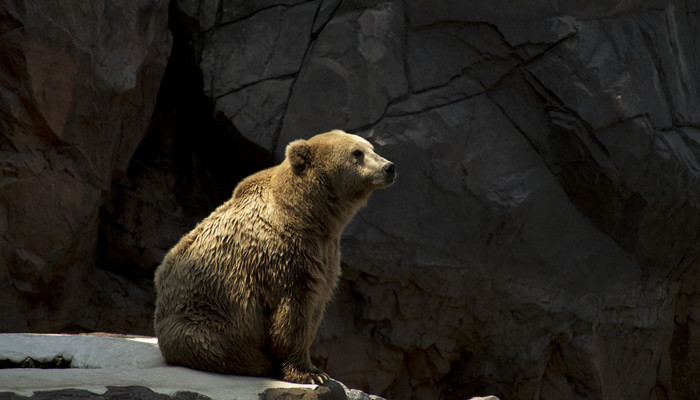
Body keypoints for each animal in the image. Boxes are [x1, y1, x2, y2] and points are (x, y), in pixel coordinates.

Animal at [153, 129, 396, 384]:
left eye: (370, 148)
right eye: (357, 152)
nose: (389, 167)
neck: (312, 214)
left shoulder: (326, 253)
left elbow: (316, 305)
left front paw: (314, 369)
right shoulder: (284, 255)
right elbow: (293, 313)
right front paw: (311, 373)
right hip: (203, 318)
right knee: (220, 347)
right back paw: (261, 363)